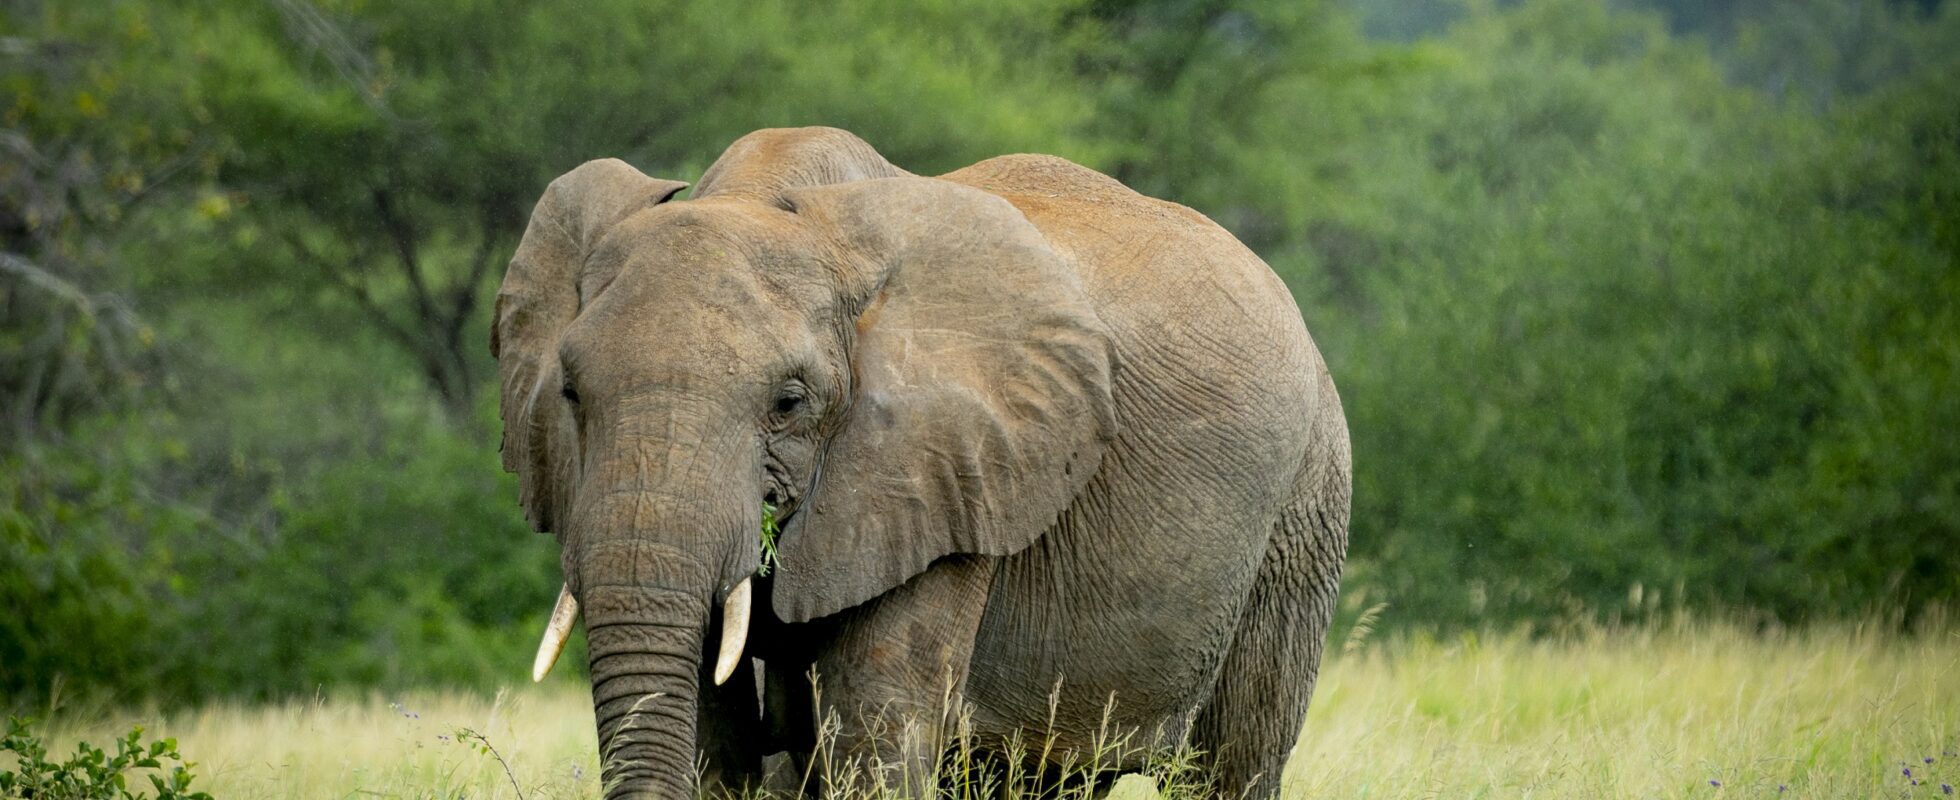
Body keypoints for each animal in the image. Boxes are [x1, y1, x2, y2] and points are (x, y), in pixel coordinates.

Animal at [493, 126, 1349, 799]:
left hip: (1302, 512)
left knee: (1232, 763)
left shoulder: (948, 474)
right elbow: (711, 735)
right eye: (569, 393)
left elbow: (874, 733)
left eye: (789, 402)